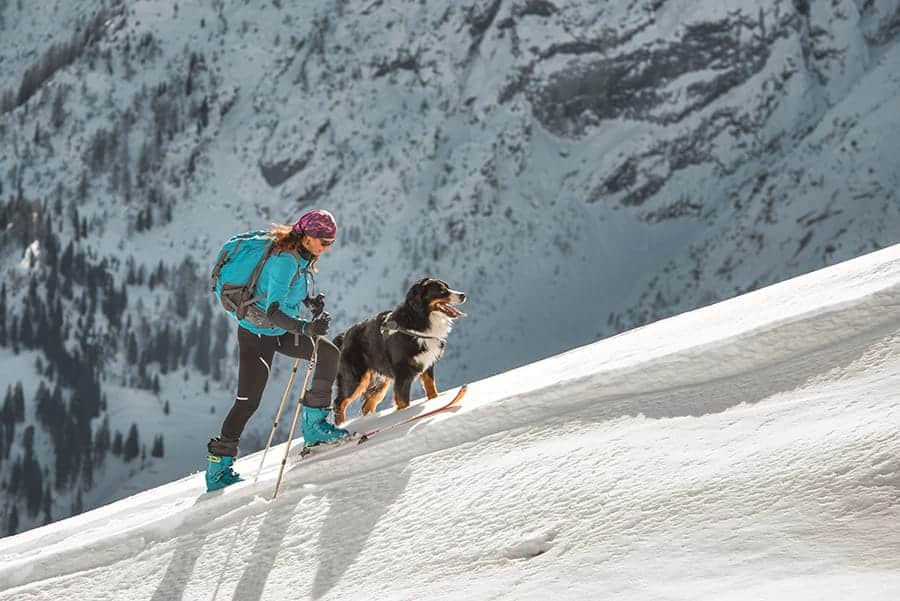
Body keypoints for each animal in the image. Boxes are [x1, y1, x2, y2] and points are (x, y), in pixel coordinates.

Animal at [332, 276, 472, 422]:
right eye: (441, 290)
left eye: (447, 287)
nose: (463, 295)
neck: (418, 321)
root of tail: (344, 336)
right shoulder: (402, 373)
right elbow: (403, 402)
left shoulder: (427, 365)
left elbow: (431, 389)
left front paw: (435, 403)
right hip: (355, 378)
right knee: (339, 403)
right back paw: (340, 425)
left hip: (381, 381)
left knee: (367, 405)